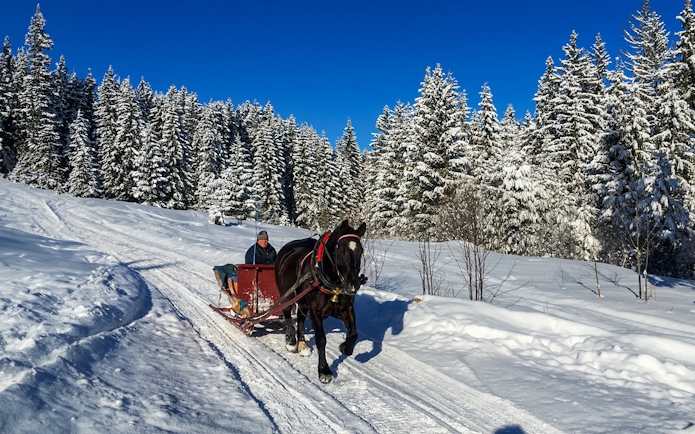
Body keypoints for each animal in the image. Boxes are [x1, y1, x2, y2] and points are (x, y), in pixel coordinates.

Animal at [274, 219, 367, 384]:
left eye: (360, 250)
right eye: (340, 249)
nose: (353, 285)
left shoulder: (346, 309)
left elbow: (354, 334)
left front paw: (345, 347)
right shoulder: (316, 312)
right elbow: (321, 340)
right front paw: (324, 370)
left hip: (302, 301)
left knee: (300, 318)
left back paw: (302, 345)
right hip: (288, 294)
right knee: (287, 312)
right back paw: (291, 341)